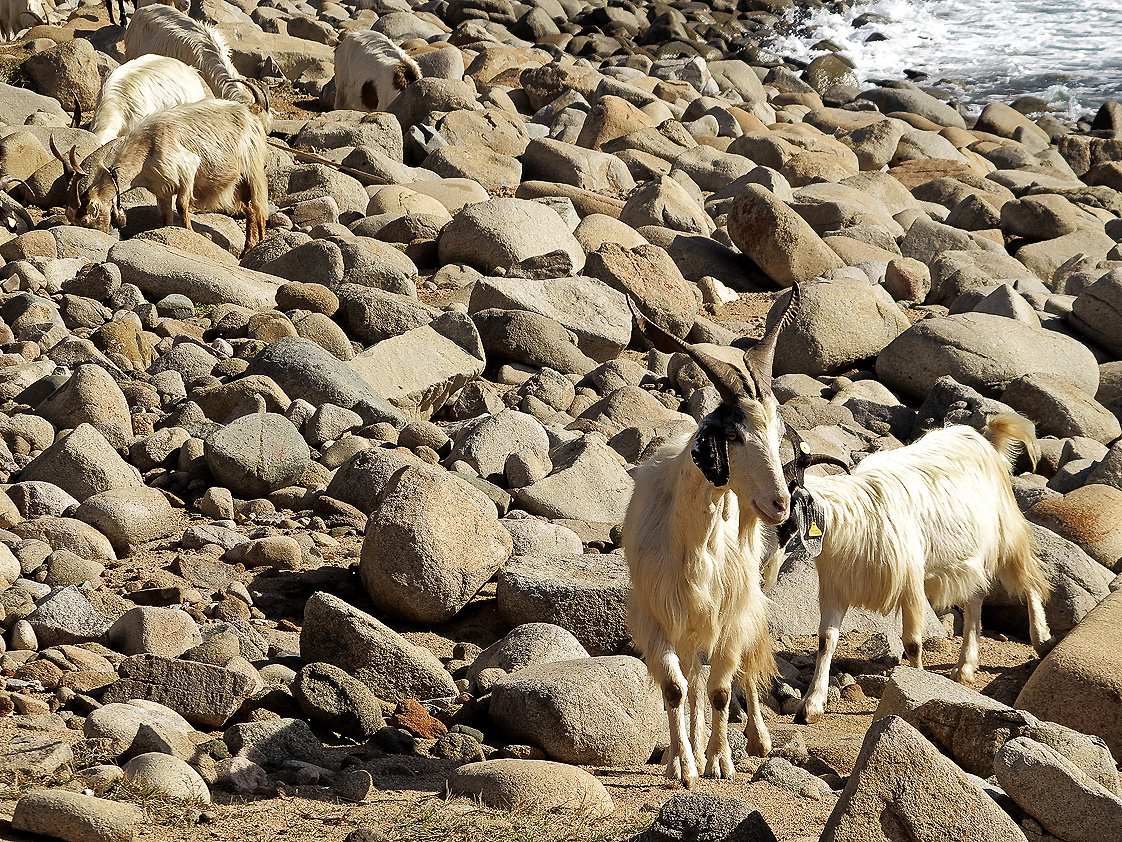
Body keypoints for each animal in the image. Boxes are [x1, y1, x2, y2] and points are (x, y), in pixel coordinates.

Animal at [53, 94, 271, 253]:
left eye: (85, 220)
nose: (103, 236)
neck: (146, 147)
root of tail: (251, 115)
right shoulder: (162, 190)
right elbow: (166, 217)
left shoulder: (187, 169)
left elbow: (182, 206)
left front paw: (189, 234)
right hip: (238, 183)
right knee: (249, 210)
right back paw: (247, 249)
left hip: (253, 169)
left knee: (259, 208)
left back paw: (260, 244)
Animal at [619, 287, 803, 790]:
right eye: (734, 436)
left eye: (778, 431)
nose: (780, 503)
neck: (695, 541)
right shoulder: (657, 614)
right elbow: (675, 687)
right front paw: (683, 764)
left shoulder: (731, 614)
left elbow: (722, 689)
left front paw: (721, 761)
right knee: (693, 678)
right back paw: (692, 746)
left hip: (743, 605)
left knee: (737, 673)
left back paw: (755, 740)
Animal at [776, 410, 1054, 727]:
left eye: (787, 505)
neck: (854, 516)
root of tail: (986, 439)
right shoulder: (836, 588)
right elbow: (826, 641)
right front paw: (811, 705)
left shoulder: (910, 584)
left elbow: (912, 644)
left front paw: (918, 688)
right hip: (967, 555)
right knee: (975, 597)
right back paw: (965, 666)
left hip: (1006, 532)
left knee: (1029, 581)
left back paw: (1042, 640)